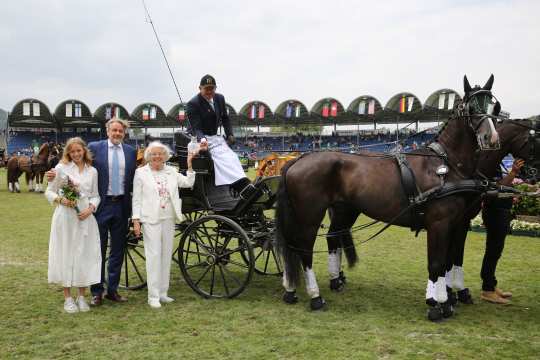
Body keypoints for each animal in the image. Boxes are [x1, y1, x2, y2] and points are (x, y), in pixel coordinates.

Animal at [278, 75, 502, 320]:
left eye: (495, 107)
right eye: (471, 108)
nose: (491, 138)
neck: (445, 165)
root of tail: (298, 159)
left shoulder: (456, 223)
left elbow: (448, 262)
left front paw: (447, 300)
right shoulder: (439, 223)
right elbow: (436, 263)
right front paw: (436, 305)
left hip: (344, 210)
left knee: (323, 240)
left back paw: (302, 287)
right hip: (310, 215)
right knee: (303, 249)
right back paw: (315, 296)